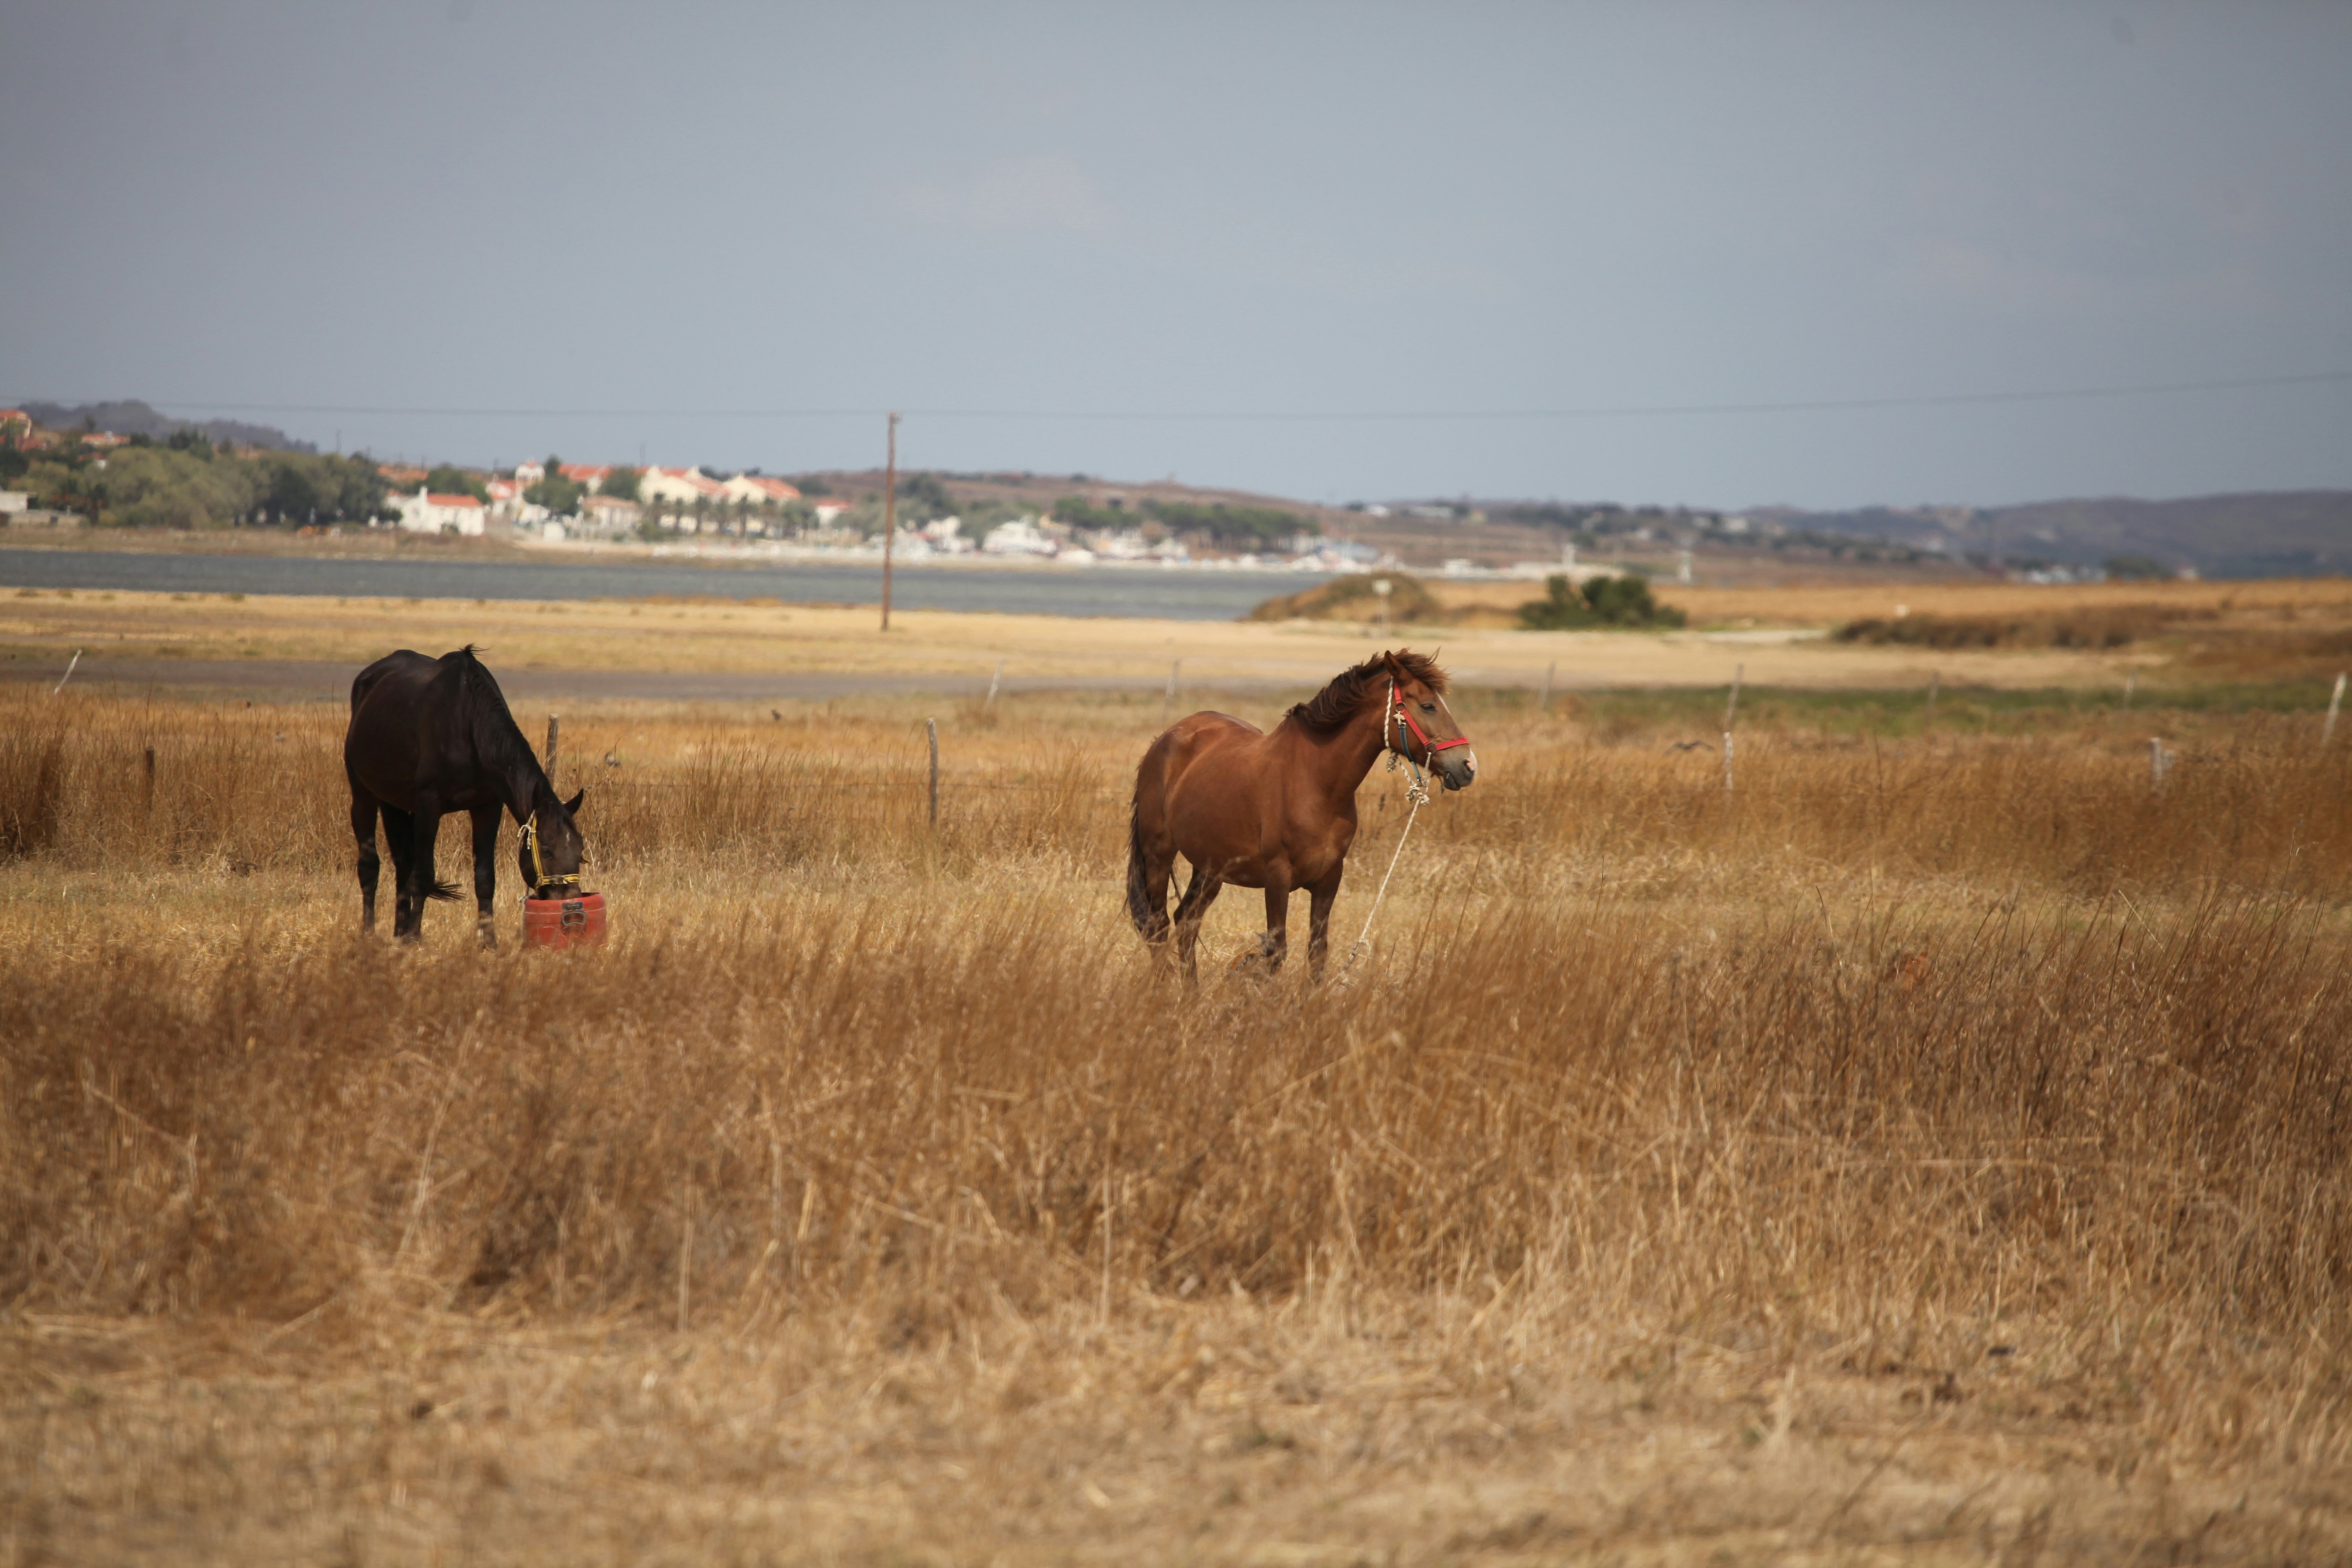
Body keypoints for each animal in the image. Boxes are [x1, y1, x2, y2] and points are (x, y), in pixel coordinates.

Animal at [343, 646, 586, 945]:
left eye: (580, 849)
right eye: (548, 850)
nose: (570, 902)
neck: (469, 725)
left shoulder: (487, 807)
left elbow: (485, 879)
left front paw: (490, 943)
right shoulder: (429, 807)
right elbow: (424, 875)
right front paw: (415, 938)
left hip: (394, 804)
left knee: (402, 866)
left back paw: (398, 934)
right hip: (363, 795)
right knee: (370, 866)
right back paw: (370, 933)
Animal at [1126, 649, 1475, 982]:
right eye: (1428, 706)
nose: (1468, 766)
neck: (1316, 783)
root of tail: (1167, 737)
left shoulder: (1329, 877)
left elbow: (1317, 953)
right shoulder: (1277, 877)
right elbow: (1277, 952)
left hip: (1210, 868)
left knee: (1186, 921)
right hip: (1159, 855)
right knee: (1158, 925)